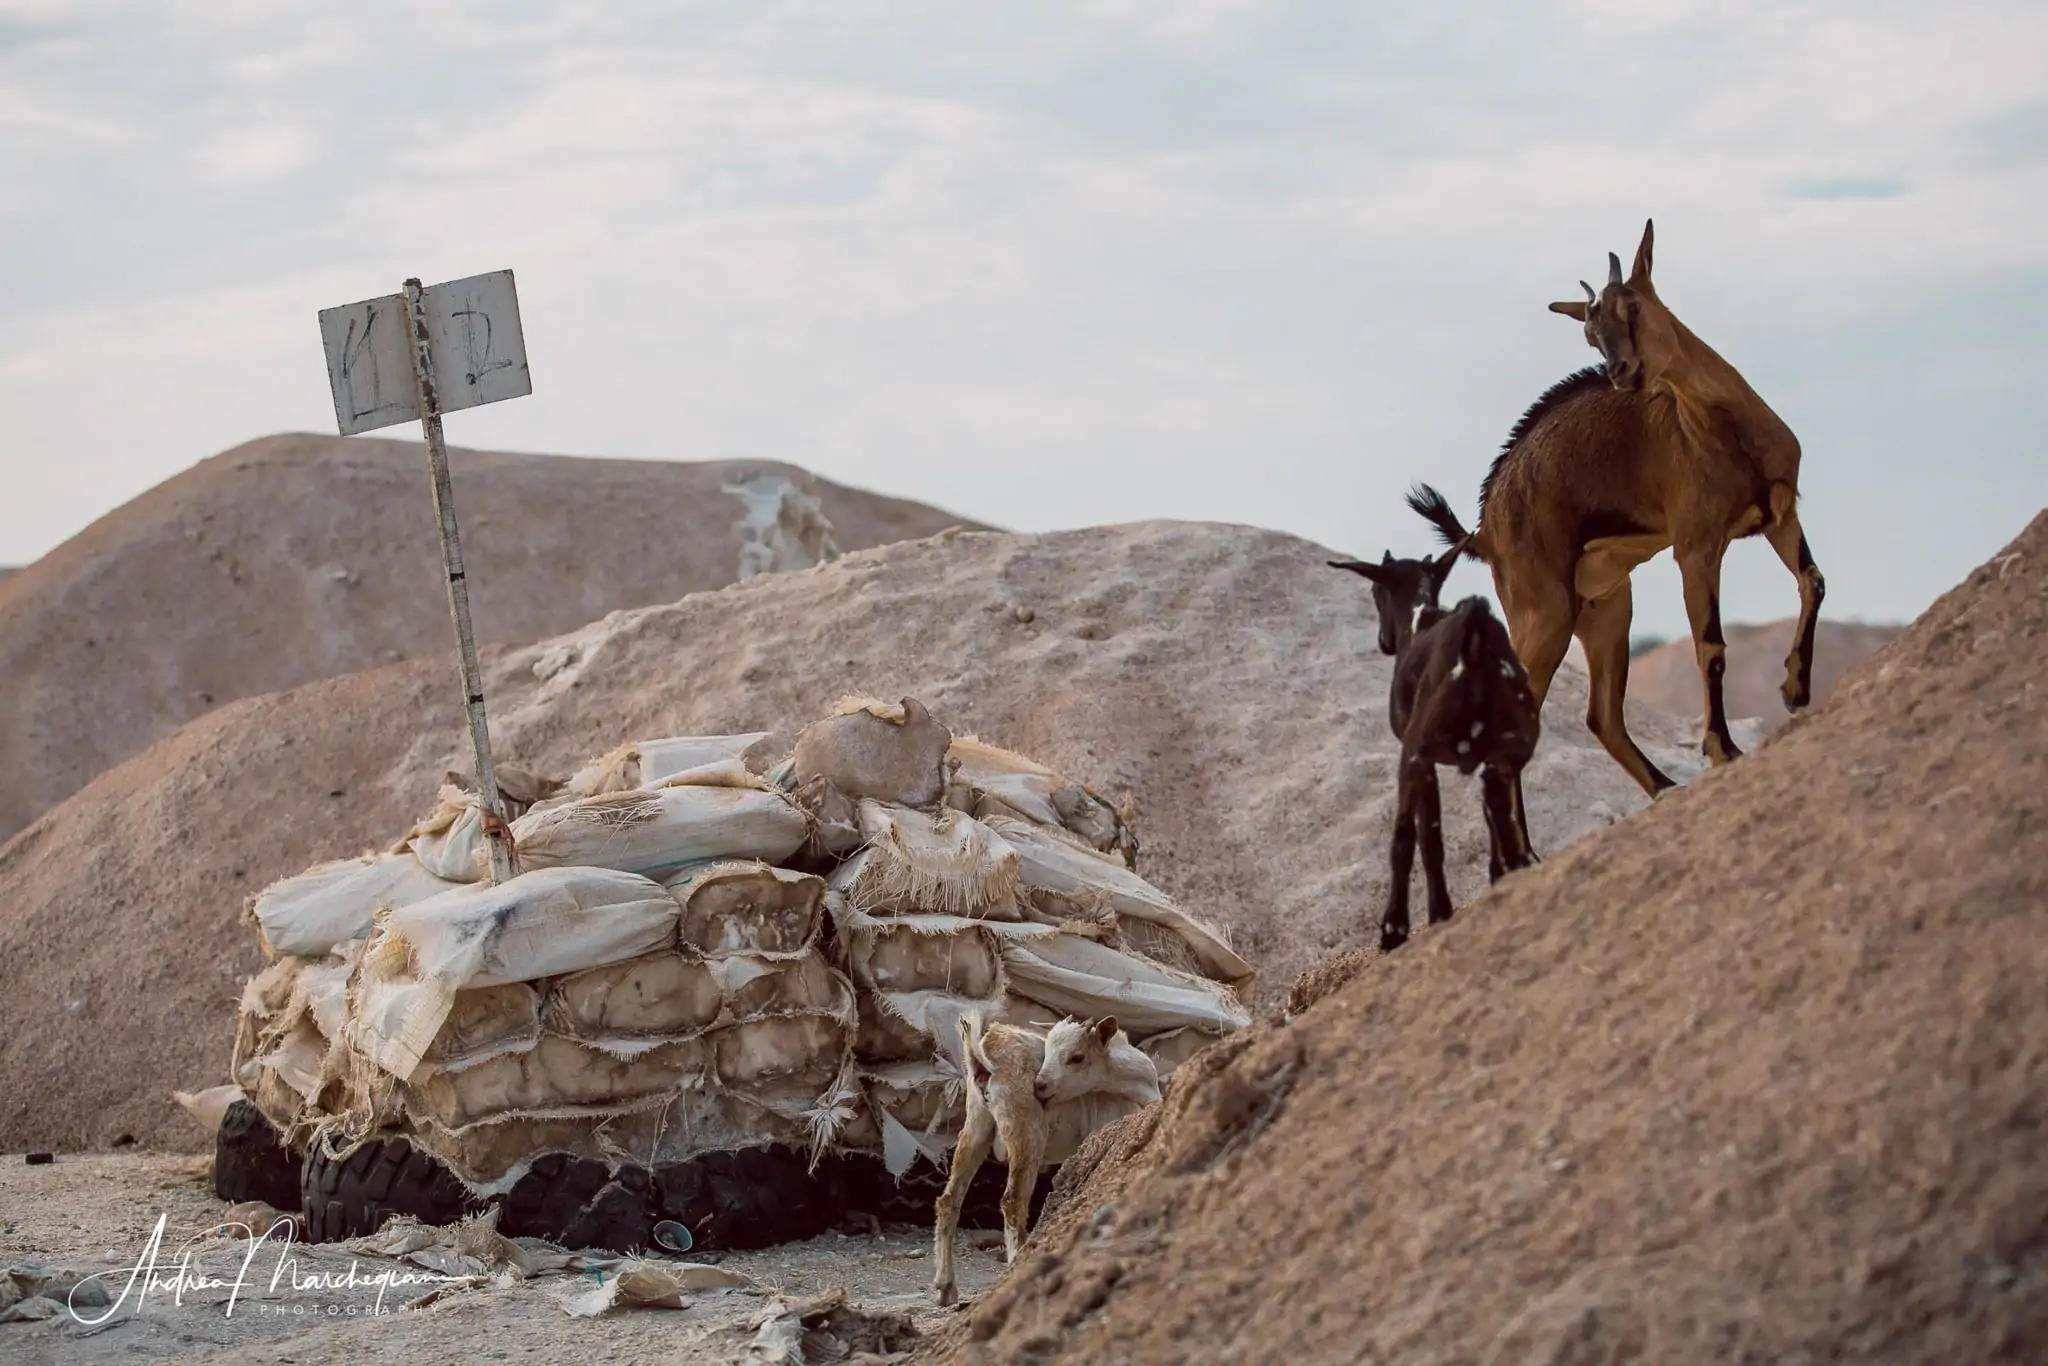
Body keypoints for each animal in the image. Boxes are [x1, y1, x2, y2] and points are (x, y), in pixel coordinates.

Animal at [1327, 548, 1540, 958]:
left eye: (1375, 591)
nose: (1384, 641)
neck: (1420, 621)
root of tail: (1474, 632)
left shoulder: (1421, 762)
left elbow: (1427, 837)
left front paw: (1438, 912)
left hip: (1415, 753)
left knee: (1404, 836)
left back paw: (1394, 928)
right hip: (1509, 748)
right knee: (1499, 808)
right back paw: (1514, 871)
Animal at [1409, 220, 1826, 839]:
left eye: (1632, 304)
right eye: (1589, 333)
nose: (1620, 373)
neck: (1719, 428)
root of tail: (1482, 532)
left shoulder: (1780, 514)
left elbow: (1812, 582)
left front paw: (1795, 688)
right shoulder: (1696, 547)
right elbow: (1710, 645)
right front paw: (1723, 747)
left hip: (1606, 609)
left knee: (1600, 715)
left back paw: (1665, 787)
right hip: (1545, 615)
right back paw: (1525, 853)